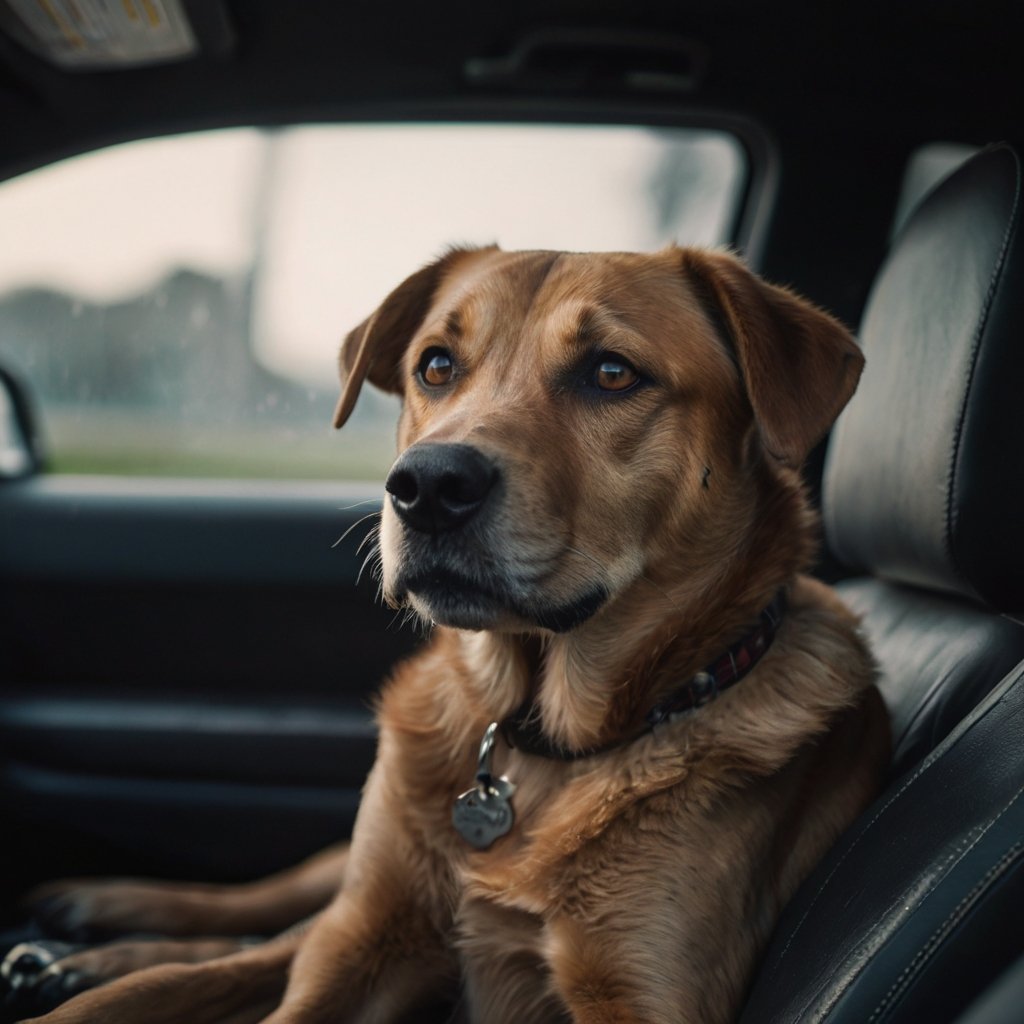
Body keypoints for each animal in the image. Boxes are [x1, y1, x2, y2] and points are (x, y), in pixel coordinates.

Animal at [19, 247, 892, 1024]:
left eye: (612, 372)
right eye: (436, 366)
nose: (428, 485)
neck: (538, 743)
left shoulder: (640, 994)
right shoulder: (364, 946)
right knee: (265, 926)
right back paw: (99, 933)